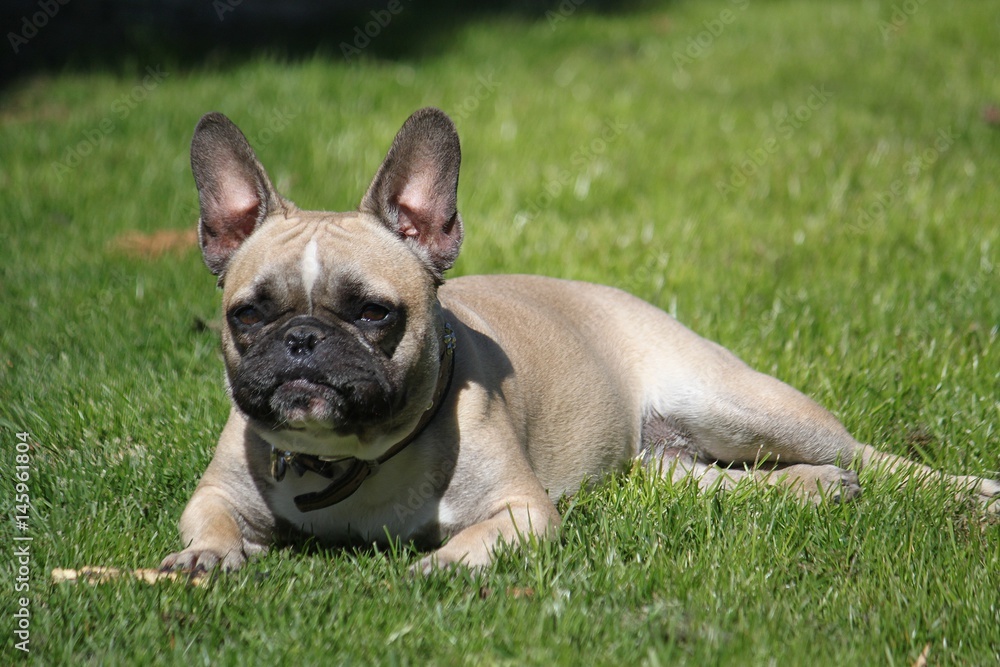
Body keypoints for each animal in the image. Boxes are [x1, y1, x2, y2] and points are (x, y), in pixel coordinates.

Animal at [160, 107, 996, 572]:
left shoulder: (522, 508)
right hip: (666, 462)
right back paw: (816, 488)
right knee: (731, 481)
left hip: (735, 402)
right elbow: (209, 516)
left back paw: (967, 492)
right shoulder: (219, 488)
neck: (348, 464)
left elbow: (476, 538)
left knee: (874, 457)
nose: (301, 340)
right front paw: (207, 554)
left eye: (372, 313)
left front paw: (442, 565)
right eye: (248, 315)